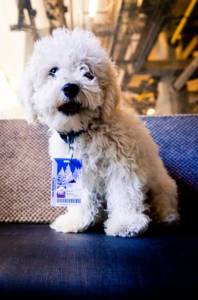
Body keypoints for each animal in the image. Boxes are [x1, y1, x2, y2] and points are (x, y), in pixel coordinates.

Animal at [21, 29, 179, 238]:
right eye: (53, 71)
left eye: (88, 73)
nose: (70, 87)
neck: (84, 131)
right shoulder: (81, 173)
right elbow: (82, 197)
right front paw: (77, 221)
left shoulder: (122, 164)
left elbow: (124, 192)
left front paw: (126, 223)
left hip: (162, 186)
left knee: (163, 202)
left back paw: (166, 216)